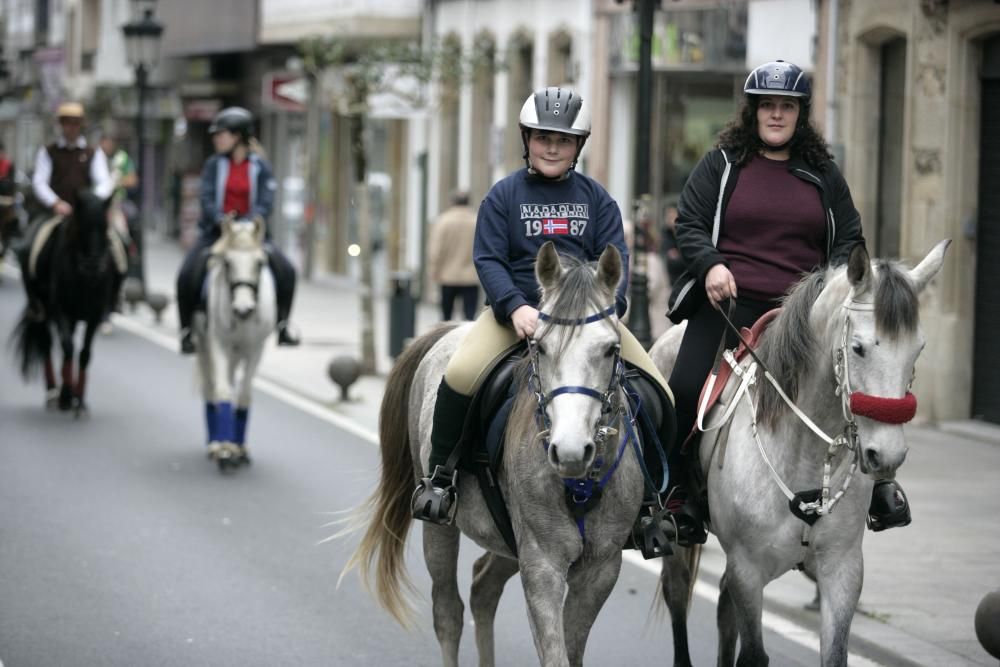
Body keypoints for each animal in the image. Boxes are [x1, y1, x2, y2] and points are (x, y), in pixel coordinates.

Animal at [192, 218, 274, 470]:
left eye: (259, 263)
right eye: (227, 263)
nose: (243, 309)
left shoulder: (256, 350)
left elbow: (244, 394)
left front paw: (238, 448)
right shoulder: (217, 345)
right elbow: (223, 391)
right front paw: (226, 451)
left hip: (237, 354)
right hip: (204, 347)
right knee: (211, 388)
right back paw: (216, 444)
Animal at [340, 241, 644, 667]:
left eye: (611, 349)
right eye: (540, 346)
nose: (569, 451)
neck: (580, 484)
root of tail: (450, 328)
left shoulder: (601, 569)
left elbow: (571, 650)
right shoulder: (542, 565)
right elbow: (555, 654)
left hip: (508, 542)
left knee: (483, 588)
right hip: (439, 523)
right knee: (448, 610)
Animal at [652, 241, 948, 667]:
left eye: (918, 349)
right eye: (858, 348)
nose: (887, 454)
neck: (805, 456)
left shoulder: (843, 570)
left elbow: (834, 654)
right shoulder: (748, 568)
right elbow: (753, 655)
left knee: (723, 609)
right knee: (677, 596)